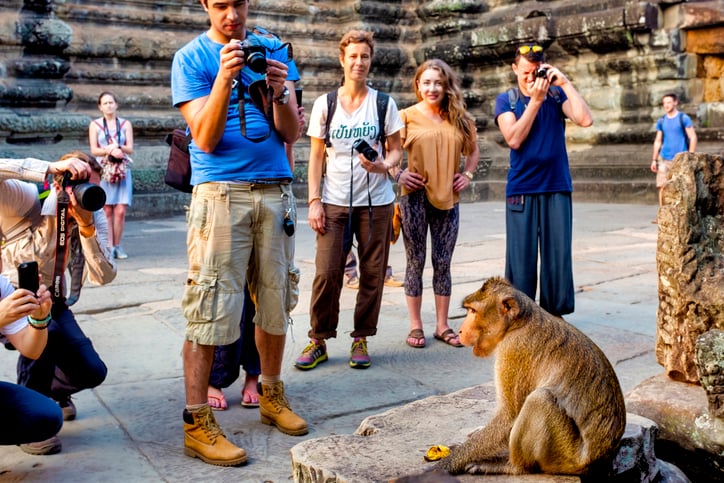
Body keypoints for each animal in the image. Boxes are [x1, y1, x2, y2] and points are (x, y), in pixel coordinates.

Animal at [436, 278, 628, 474]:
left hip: (566, 456)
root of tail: (598, 461)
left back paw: (511, 466)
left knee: (540, 400)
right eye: (468, 310)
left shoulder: (513, 349)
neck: (518, 324)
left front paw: (445, 465)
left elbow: (509, 417)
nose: (460, 331)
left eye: (473, 311)